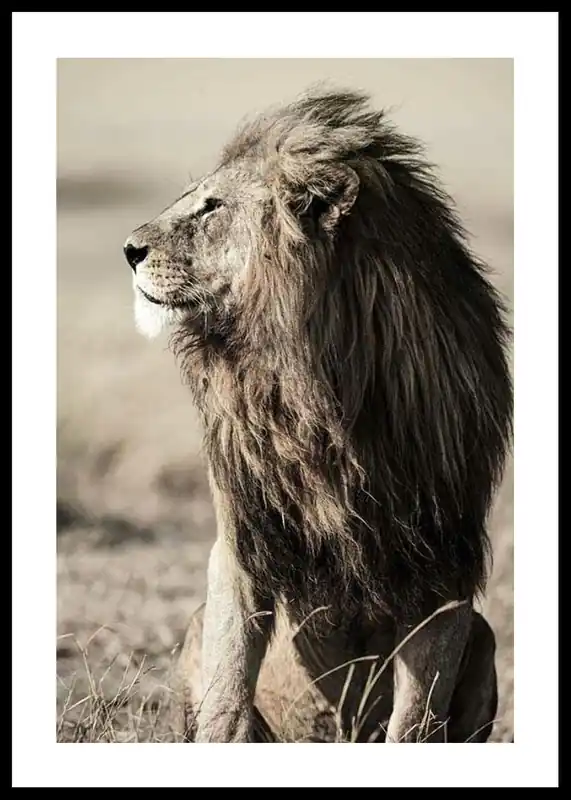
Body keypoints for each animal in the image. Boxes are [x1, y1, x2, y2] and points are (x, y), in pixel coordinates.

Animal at [124, 89, 512, 743]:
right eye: (192, 197)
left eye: (212, 207)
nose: (128, 250)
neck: (313, 390)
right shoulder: (242, 541)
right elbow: (227, 694)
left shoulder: (447, 567)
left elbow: (415, 719)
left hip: (483, 638)